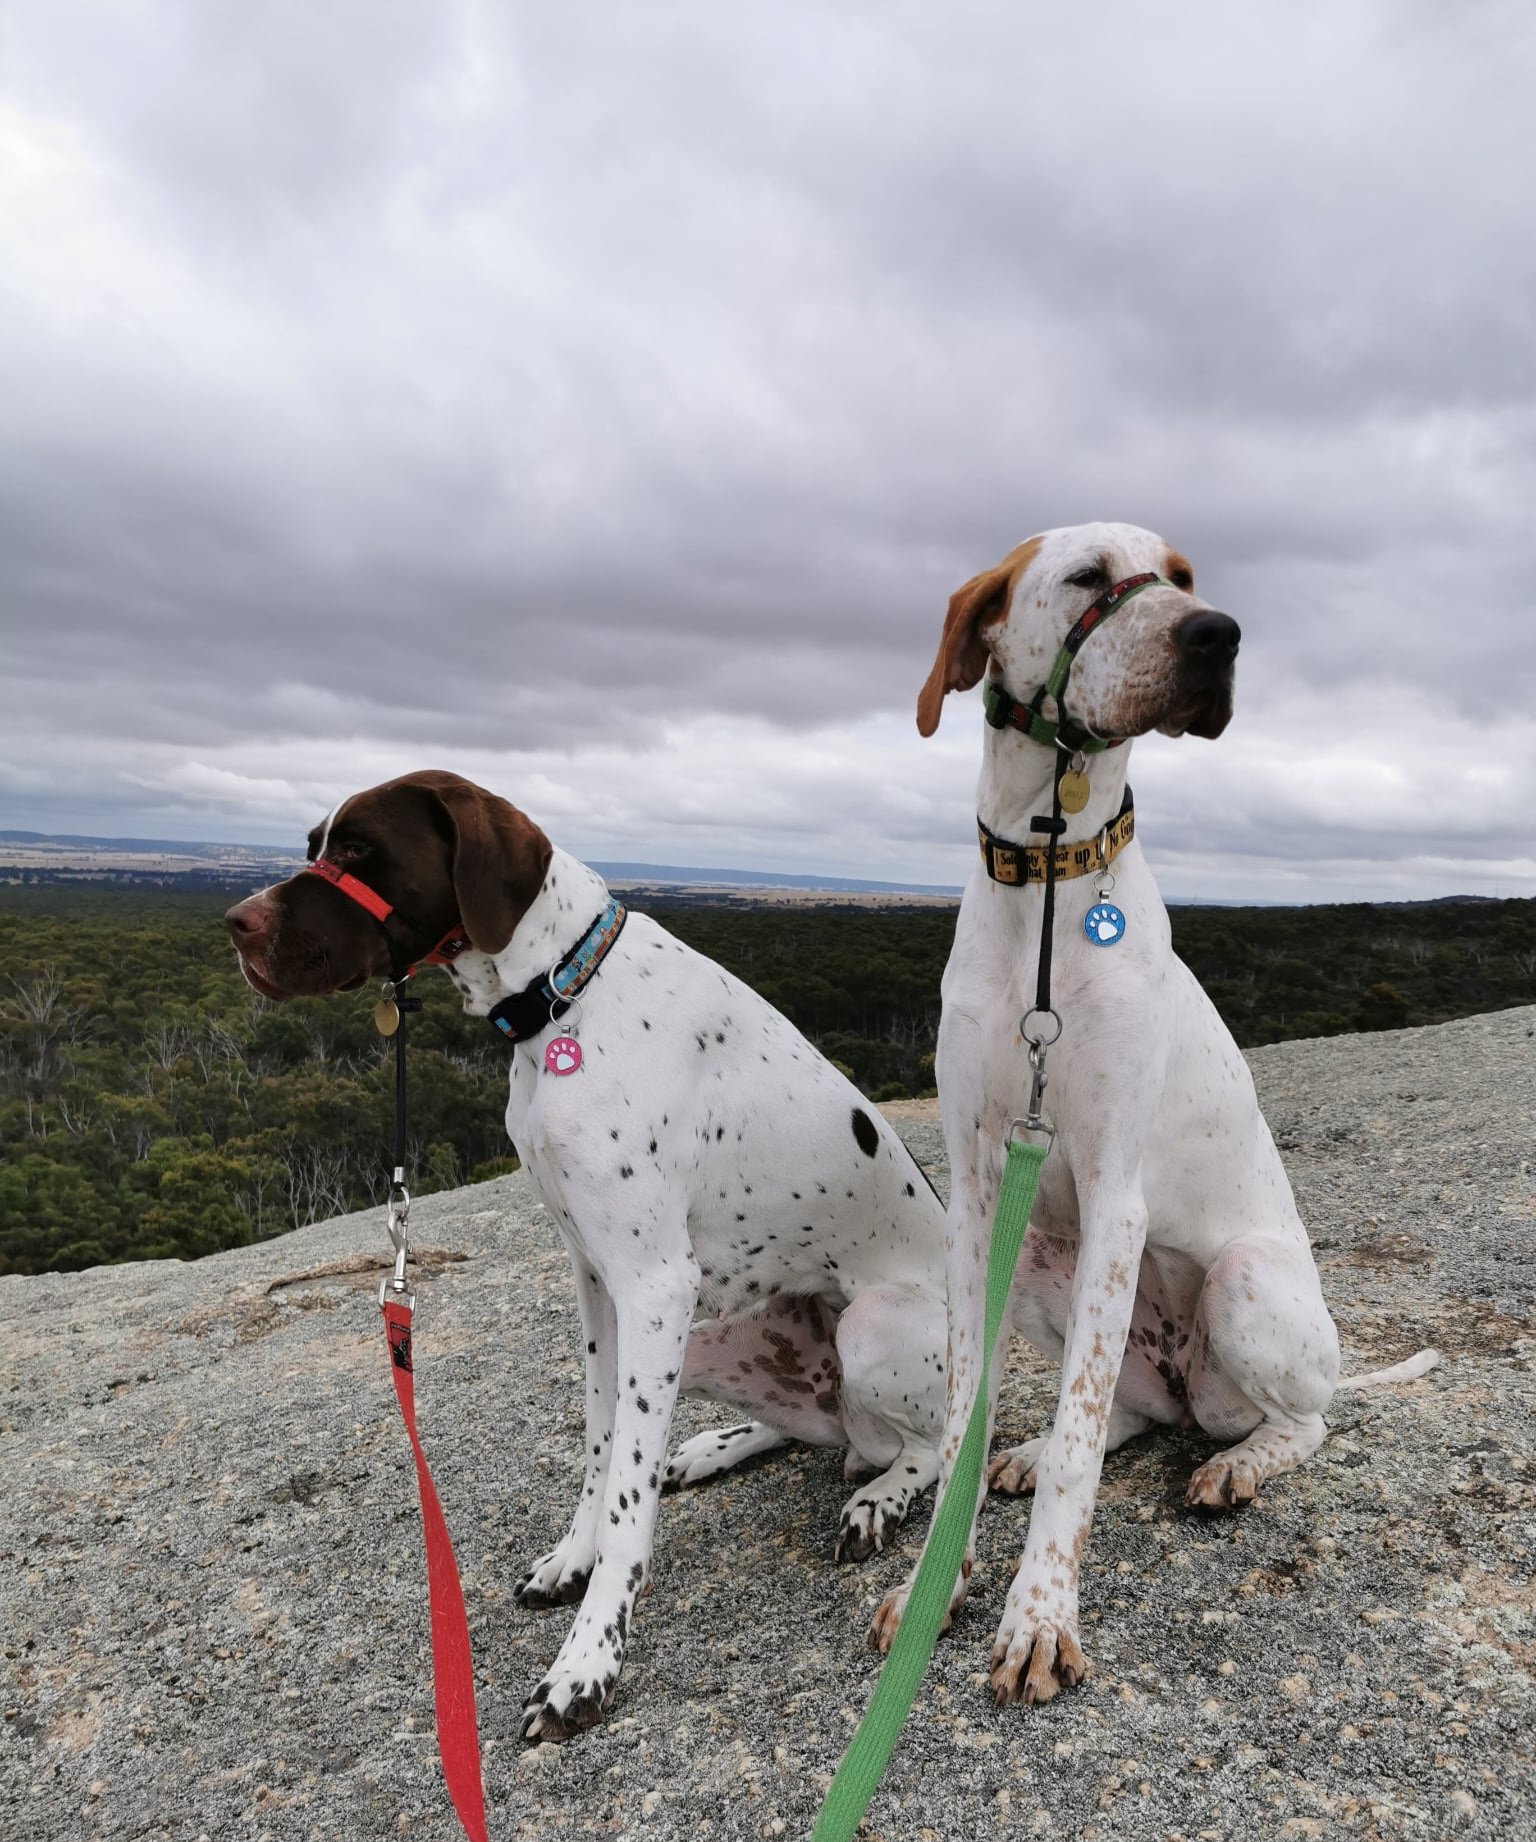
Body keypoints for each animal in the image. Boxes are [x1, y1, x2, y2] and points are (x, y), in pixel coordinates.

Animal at [223, 770, 951, 1740]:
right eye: (315, 843)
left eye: (358, 849)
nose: (236, 923)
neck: (563, 994)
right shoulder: (598, 1283)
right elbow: (604, 1448)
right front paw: (575, 1557)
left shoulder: (653, 1288)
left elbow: (628, 1498)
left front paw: (587, 1662)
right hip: (724, 1341)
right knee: (826, 1423)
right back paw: (717, 1446)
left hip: (870, 1326)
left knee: (931, 1445)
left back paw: (879, 1499)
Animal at [870, 522, 1437, 1706]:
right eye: (1088, 576)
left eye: (1181, 578)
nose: (1219, 634)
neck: (1047, 878)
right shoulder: (979, 1197)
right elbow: (972, 1415)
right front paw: (938, 1583)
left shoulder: (1117, 1196)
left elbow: (1084, 1449)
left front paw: (1040, 1616)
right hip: (1046, 1258)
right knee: (1127, 1410)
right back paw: (1049, 1446)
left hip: (1245, 1284)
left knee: (1303, 1419)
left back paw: (1236, 1465)